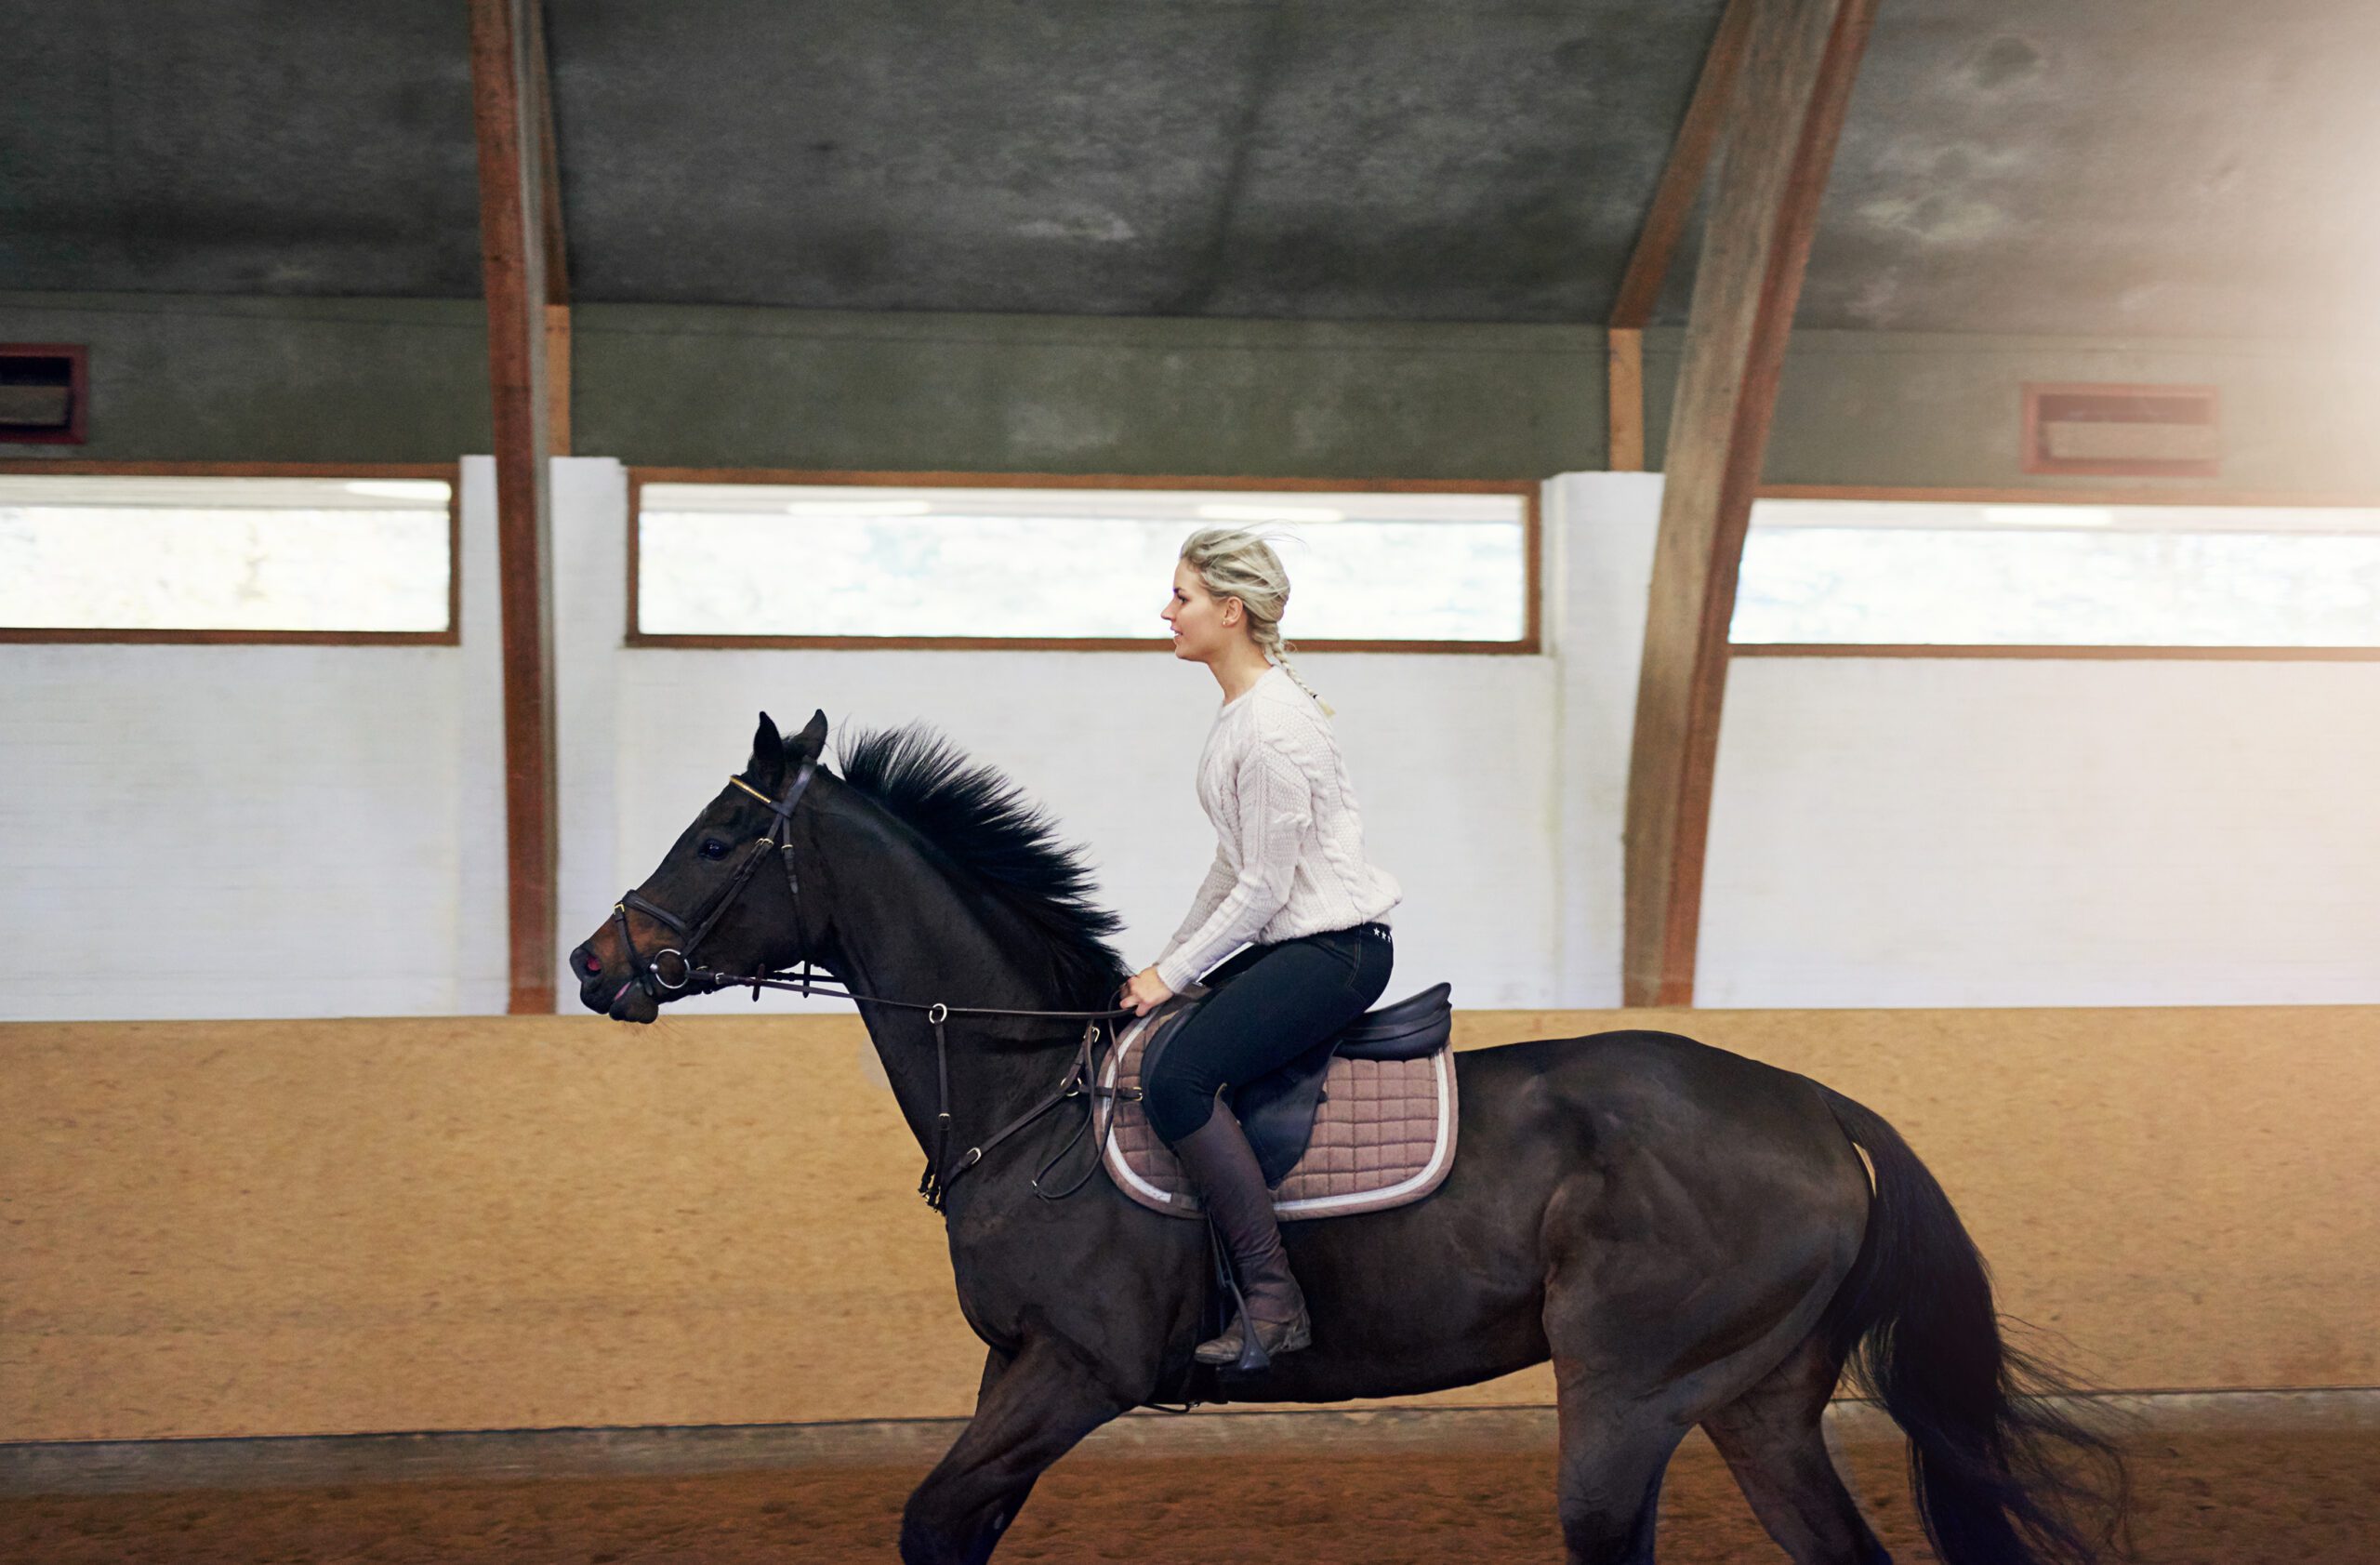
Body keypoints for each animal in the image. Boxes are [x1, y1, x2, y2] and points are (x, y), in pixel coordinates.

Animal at [571, 710, 2122, 1562]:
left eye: (718, 841)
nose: (596, 964)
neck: (1031, 1092)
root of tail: (1813, 1099)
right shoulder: (1013, 1367)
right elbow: (955, 1524)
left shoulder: (1081, 1368)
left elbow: (935, 1517)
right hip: (1754, 1400)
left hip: (1632, 1390)